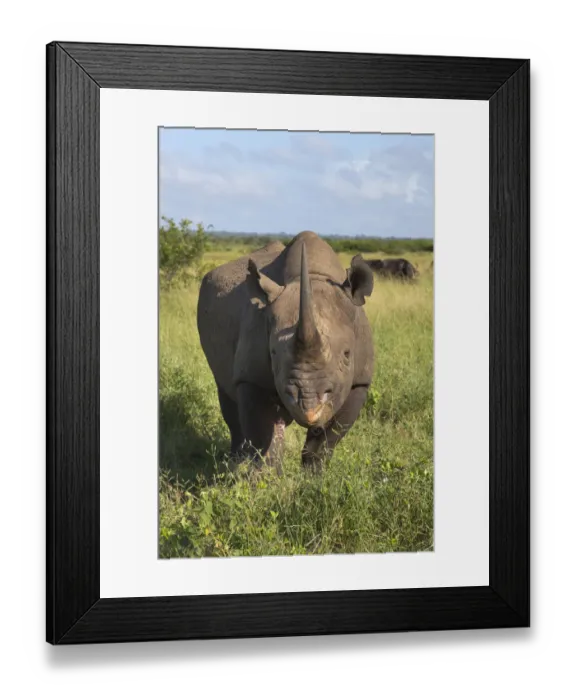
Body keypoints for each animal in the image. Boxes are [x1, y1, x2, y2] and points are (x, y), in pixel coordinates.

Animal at [197, 230, 375, 472]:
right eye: (272, 353)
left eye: (347, 355)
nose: (308, 404)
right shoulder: (252, 377)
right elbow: (263, 438)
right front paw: (264, 476)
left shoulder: (359, 381)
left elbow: (326, 440)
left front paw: (314, 475)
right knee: (227, 395)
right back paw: (234, 462)